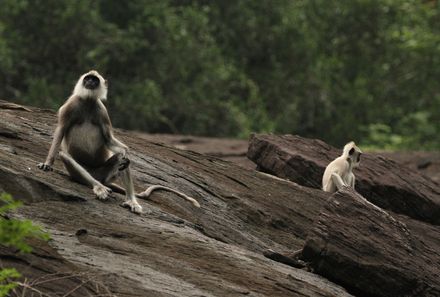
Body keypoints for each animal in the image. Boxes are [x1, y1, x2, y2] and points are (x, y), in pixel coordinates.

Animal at [37, 70, 201, 213]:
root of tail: (99, 177)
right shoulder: (71, 104)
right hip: (79, 173)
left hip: (105, 172)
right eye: (87, 78)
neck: (88, 101)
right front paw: (47, 163)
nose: (90, 82)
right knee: (65, 156)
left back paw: (131, 200)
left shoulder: (102, 111)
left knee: (121, 159)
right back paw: (99, 187)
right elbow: (60, 131)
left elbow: (111, 141)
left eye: (95, 80)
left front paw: (125, 154)